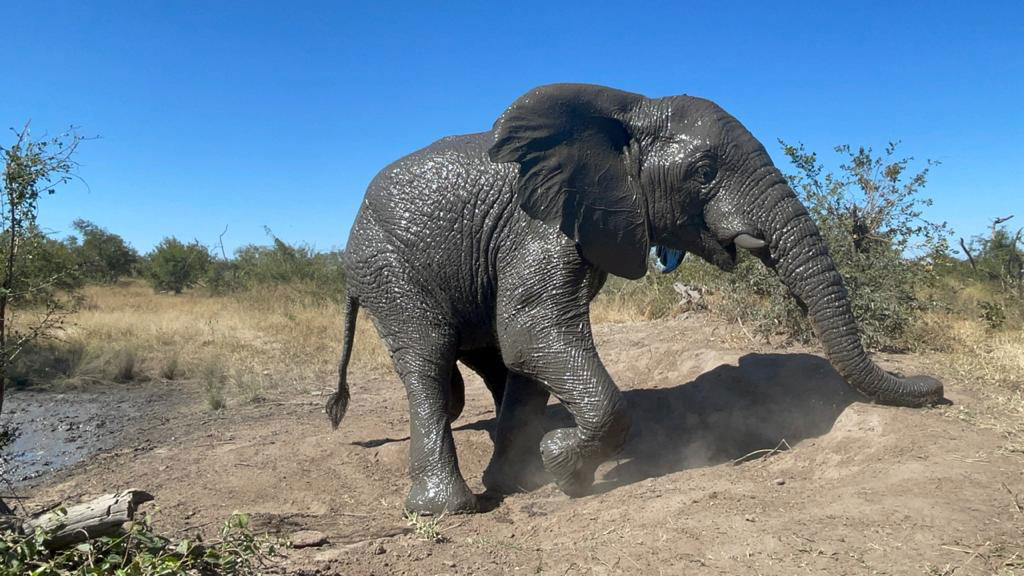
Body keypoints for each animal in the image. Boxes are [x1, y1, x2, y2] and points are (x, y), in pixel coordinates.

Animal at [326, 84, 944, 514]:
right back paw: (446, 509)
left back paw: (507, 478)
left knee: (495, 363)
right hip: (388, 262)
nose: (937, 389)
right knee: (429, 360)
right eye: (703, 173)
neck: (627, 111)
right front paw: (564, 468)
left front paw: (541, 474)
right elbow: (533, 331)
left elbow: (526, 343)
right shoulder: (537, 226)